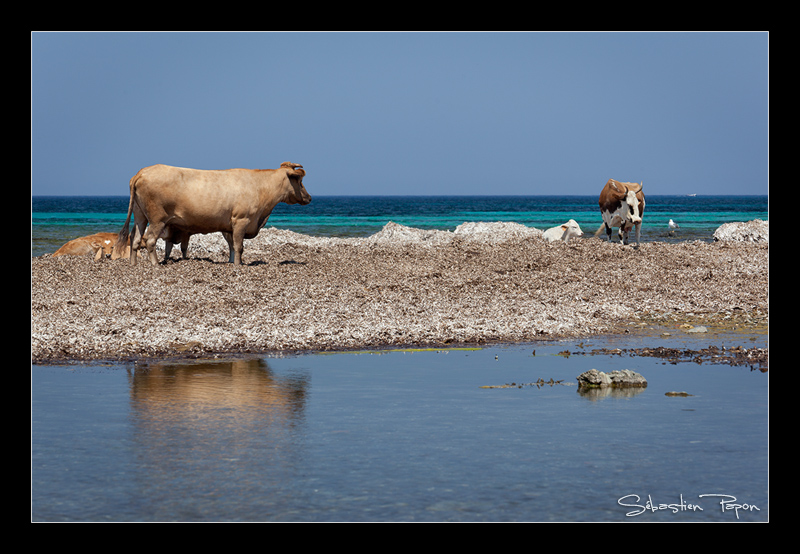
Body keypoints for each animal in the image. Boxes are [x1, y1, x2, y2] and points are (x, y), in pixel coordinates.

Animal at [114, 161, 310, 264]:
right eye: (300, 180)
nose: (309, 198)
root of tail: (142, 172)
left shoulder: (229, 226)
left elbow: (232, 246)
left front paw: (232, 262)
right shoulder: (241, 220)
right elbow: (239, 246)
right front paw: (238, 265)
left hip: (140, 216)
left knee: (136, 239)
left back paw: (133, 264)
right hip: (157, 218)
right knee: (149, 240)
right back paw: (155, 264)